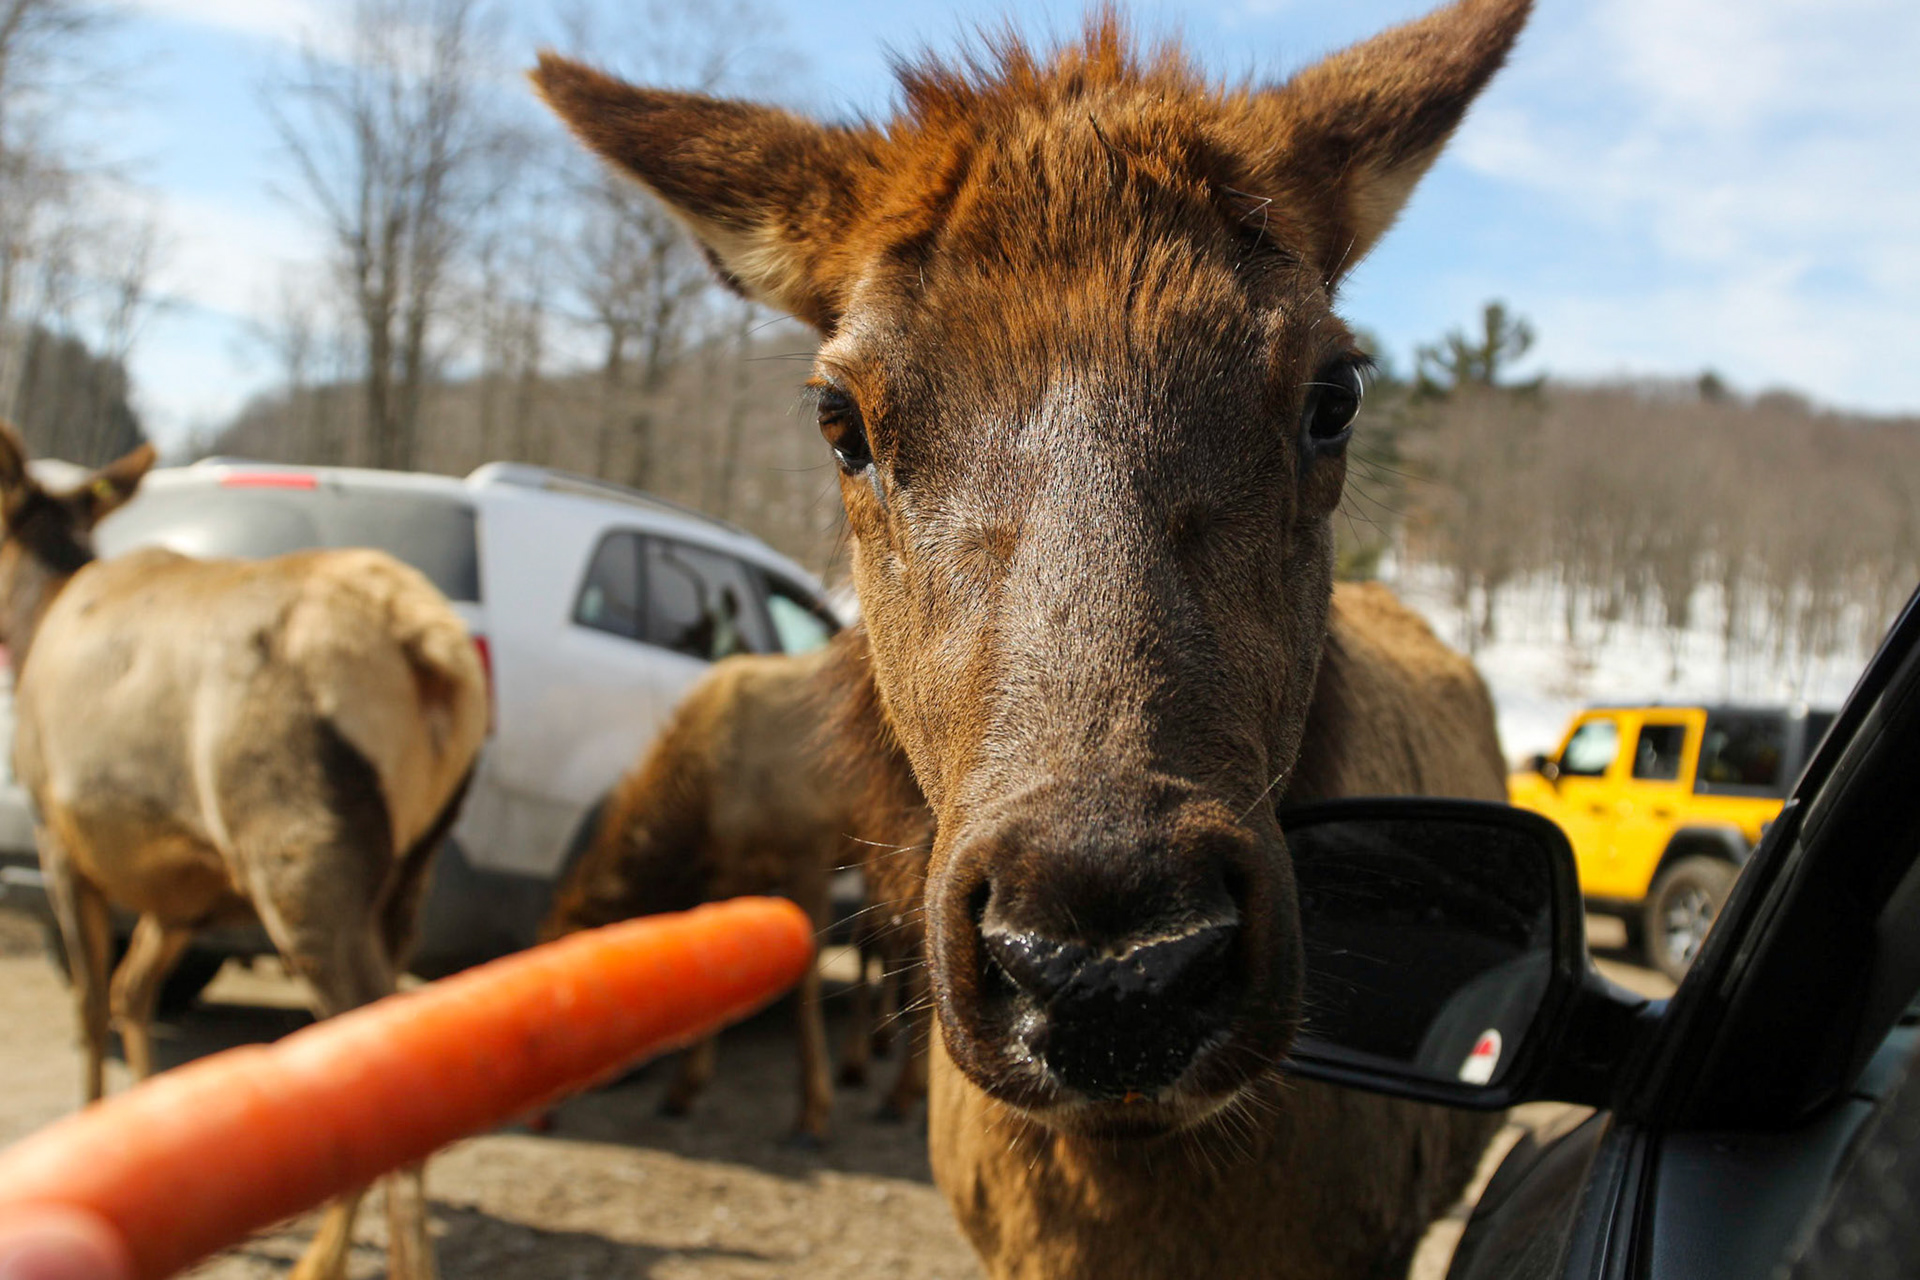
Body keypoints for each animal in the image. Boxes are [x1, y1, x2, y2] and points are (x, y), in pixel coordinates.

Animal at [0, 423, 488, 1280]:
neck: (32, 625)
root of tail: (434, 657)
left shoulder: (61, 840)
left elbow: (90, 1005)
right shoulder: (189, 890)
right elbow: (133, 992)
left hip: (300, 856)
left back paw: (328, 1260)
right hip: (409, 875)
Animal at [542, 631, 933, 1141]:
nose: (540, 1117)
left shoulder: (808, 852)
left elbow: (805, 980)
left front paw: (812, 1111)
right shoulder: (729, 871)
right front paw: (685, 1087)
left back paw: (902, 1093)